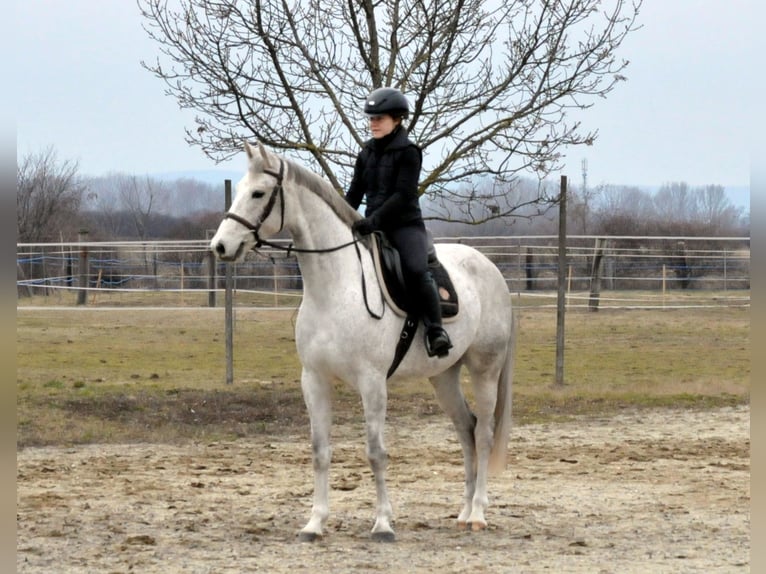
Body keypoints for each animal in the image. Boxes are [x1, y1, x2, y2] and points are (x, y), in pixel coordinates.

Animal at [210, 141, 516, 542]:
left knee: (483, 434)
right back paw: (464, 513)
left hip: (485, 371)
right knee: (466, 429)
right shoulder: (314, 379)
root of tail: (491, 269)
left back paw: (478, 513)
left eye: (258, 193)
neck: (336, 287)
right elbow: (320, 450)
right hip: (444, 376)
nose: (220, 246)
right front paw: (315, 523)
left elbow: (375, 452)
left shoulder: (372, 383)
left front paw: (383, 524)